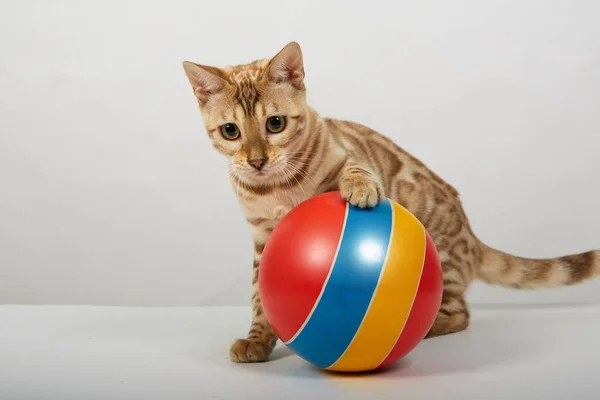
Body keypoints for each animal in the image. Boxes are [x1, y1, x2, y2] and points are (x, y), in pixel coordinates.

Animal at [183, 42, 600, 364]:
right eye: (231, 131)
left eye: (275, 124)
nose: (256, 161)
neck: (278, 189)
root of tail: (471, 236)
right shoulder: (263, 238)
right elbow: (259, 295)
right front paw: (257, 338)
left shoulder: (348, 154)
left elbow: (358, 170)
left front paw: (360, 189)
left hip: (443, 259)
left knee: (459, 314)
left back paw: (426, 328)